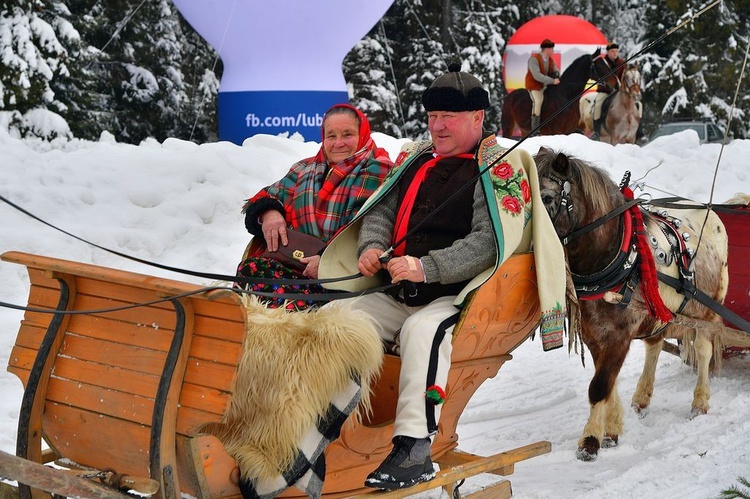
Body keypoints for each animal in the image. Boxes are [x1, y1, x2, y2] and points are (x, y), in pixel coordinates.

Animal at [536, 149, 744, 464]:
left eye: (547, 197)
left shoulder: (619, 335)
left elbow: (600, 385)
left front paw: (589, 441)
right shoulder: (595, 334)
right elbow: (607, 381)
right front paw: (611, 429)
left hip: (710, 308)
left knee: (704, 350)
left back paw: (700, 401)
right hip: (661, 312)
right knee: (654, 344)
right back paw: (642, 398)